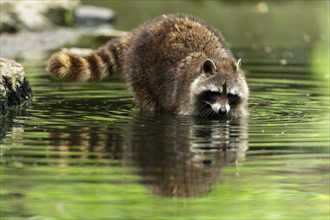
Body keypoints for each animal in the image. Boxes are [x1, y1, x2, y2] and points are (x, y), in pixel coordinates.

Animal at [45, 13, 248, 117]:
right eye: (214, 92)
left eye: (230, 94)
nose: (222, 111)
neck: (215, 58)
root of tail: (139, 31)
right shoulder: (185, 99)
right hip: (138, 69)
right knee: (148, 102)